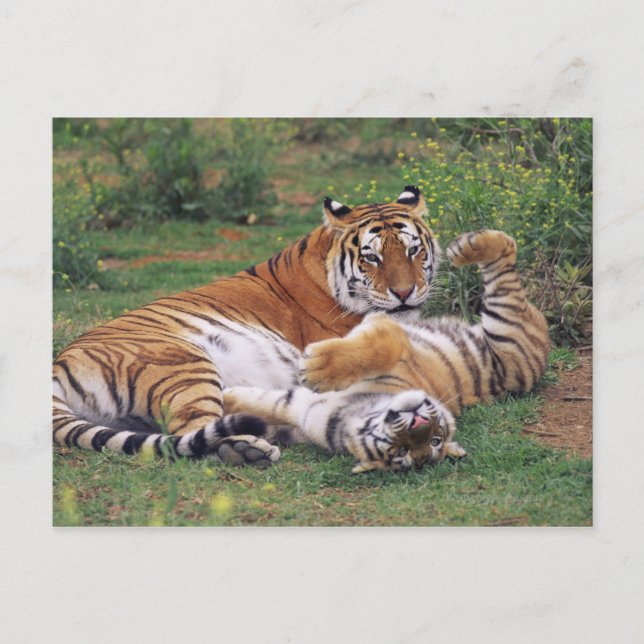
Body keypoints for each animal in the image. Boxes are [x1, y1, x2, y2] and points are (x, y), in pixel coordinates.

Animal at [52, 186, 440, 465]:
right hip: (183, 364)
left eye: (412, 250)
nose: (404, 293)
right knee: (195, 432)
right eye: (371, 257)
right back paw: (247, 449)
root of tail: (59, 365)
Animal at [223, 229, 551, 473]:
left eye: (433, 441)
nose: (419, 422)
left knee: (507, 260)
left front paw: (316, 367)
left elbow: (382, 344)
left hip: (506, 325)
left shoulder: (387, 326)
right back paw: (465, 246)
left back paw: (471, 247)